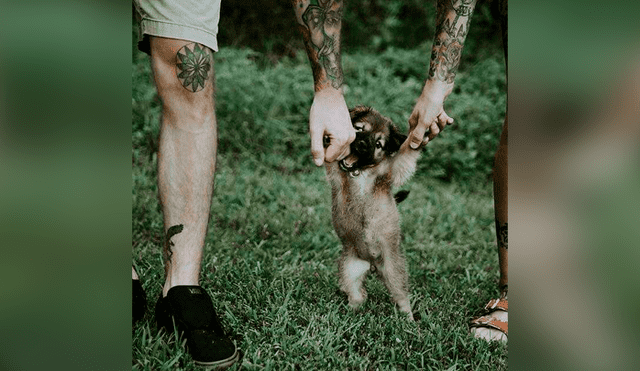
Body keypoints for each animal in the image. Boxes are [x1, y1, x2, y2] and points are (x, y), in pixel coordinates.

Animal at [324, 106, 420, 322]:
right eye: (359, 129)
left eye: (378, 144)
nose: (361, 144)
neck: (359, 172)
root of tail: (373, 264)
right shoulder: (334, 168)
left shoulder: (393, 170)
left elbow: (407, 151)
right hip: (350, 271)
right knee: (357, 295)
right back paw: (350, 312)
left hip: (393, 271)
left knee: (401, 296)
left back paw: (409, 320)